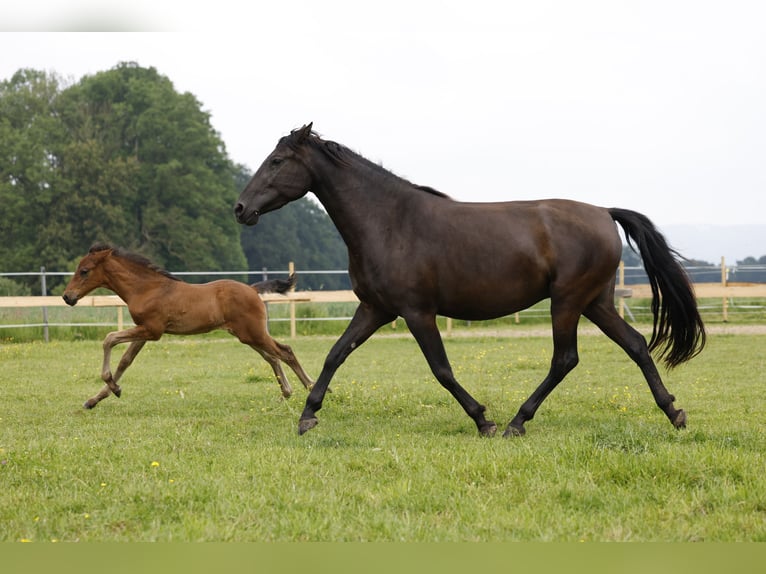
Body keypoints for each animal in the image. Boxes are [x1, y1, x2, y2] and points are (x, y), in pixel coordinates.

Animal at [62, 245, 316, 412]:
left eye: (84, 271)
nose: (67, 297)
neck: (146, 288)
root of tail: (253, 289)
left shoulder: (152, 330)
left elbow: (109, 338)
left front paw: (112, 386)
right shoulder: (144, 330)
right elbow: (125, 361)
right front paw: (98, 397)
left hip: (254, 334)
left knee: (285, 352)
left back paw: (310, 388)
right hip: (248, 336)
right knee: (272, 357)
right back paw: (287, 393)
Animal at [236, 126, 708, 438]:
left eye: (277, 161)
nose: (241, 208)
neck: (389, 221)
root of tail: (604, 212)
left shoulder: (416, 312)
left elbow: (441, 369)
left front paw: (484, 419)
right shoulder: (375, 309)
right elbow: (336, 355)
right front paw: (308, 415)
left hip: (568, 302)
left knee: (565, 359)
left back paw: (517, 422)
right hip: (596, 303)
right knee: (636, 345)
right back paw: (674, 412)